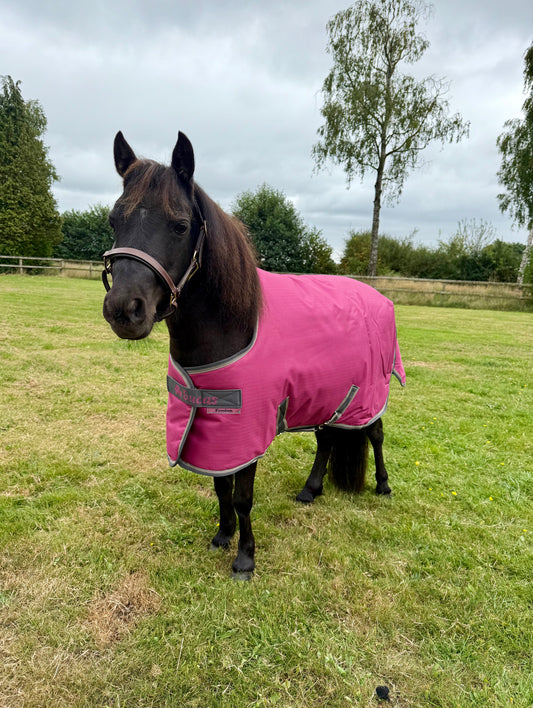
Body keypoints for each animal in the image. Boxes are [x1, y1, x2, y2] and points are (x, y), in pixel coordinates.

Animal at [102, 131, 405, 580]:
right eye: (113, 220)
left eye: (180, 225)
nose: (124, 309)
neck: (232, 325)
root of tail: (376, 296)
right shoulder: (214, 423)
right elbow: (220, 484)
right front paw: (222, 535)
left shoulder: (247, 426)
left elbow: (242, 494)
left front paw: (245, 558)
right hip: (330, 395)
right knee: (328, 440)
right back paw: (310, 490)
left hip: (367, 393)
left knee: (375, 433)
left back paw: (383, 486)